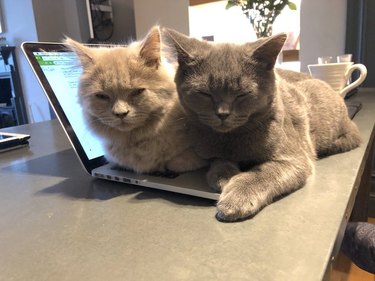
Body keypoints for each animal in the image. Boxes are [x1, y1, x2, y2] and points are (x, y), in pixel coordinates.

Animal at [163, 28, 362, 221]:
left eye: (243, 94)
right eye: (204, 93)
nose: (223, 114)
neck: (232, 140)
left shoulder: (296, 158)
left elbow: (264, 172)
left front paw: (236, 198)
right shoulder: (210, 150)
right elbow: (219, 159)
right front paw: (223, 176)